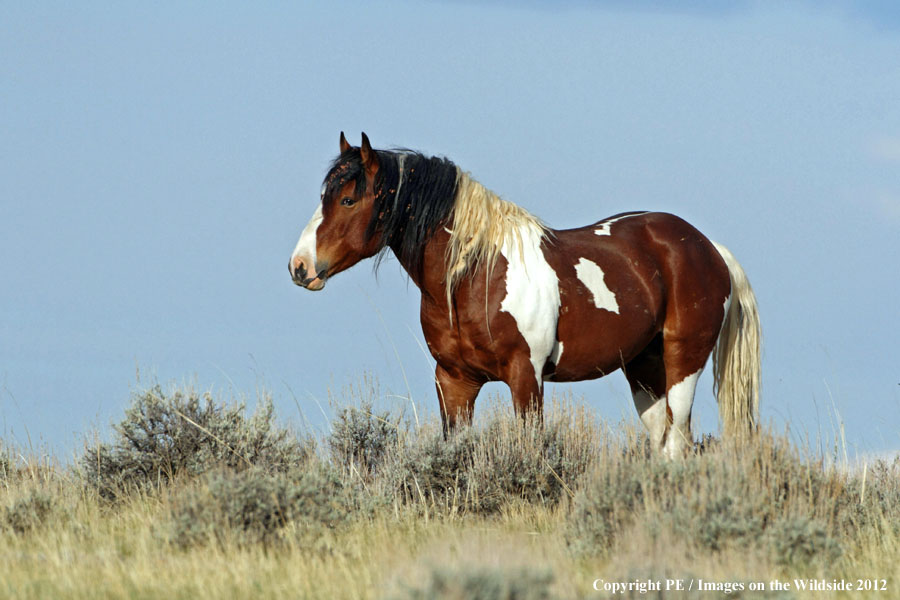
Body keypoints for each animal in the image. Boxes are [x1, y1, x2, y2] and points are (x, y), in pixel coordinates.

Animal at [288, 134, 760, 458]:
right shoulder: (453, 380)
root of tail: (706, 246)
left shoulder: (526, 376)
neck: (477, 276)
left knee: (677, 441)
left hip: (684, 364)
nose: (299, 267)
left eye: (349, 199)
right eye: (325, 195)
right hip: (644, 369)